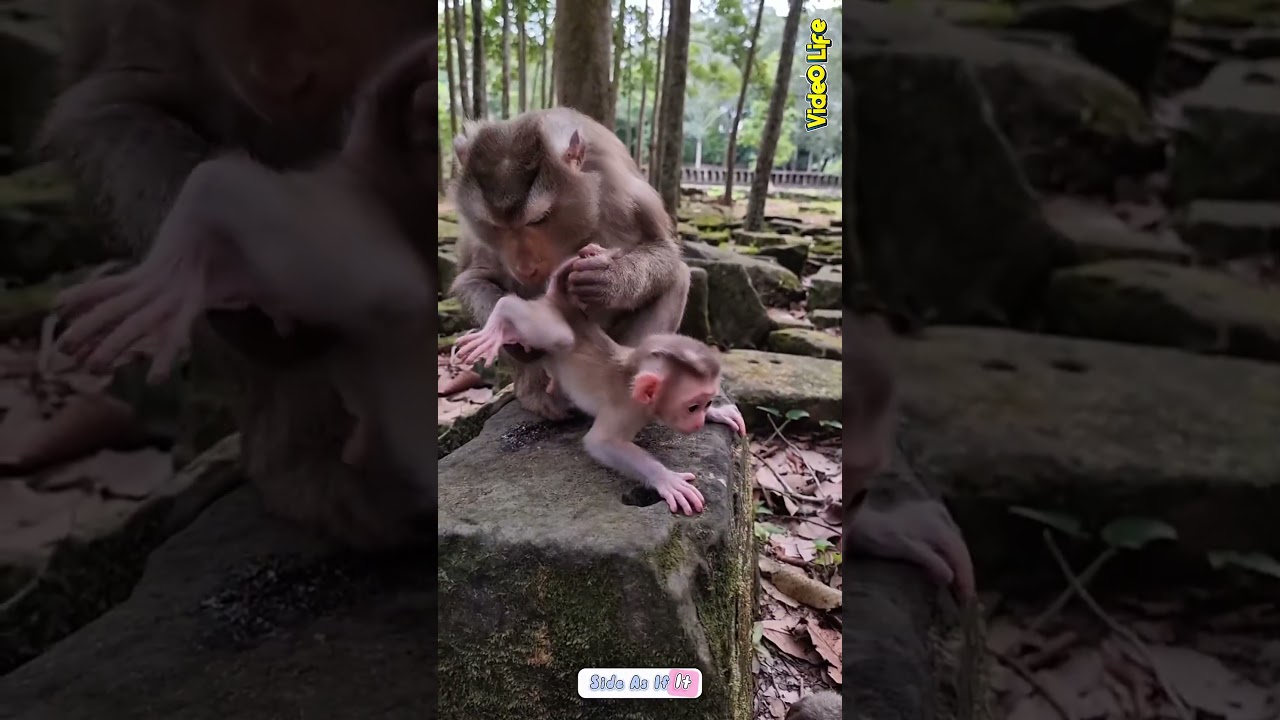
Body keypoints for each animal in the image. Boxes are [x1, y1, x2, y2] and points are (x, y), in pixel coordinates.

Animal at [448, 107, 692, 422]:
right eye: (496, 227)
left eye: (539, 219)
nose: (525, 267)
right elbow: (473, 279)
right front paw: (510, 330)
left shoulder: (622, 190)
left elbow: (664, 251)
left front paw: (609, 280)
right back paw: (538, 393)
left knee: (677, 279)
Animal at [452, 244, 748, 516]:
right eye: (692, 407)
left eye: (705, 404)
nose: (698, 422)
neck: (634, 375)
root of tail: (563, 302)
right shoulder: (627, 410)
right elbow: (601, 443)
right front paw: (667, 479)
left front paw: (720, 413)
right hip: (550, 318)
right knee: (555, 334)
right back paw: (500, 319)